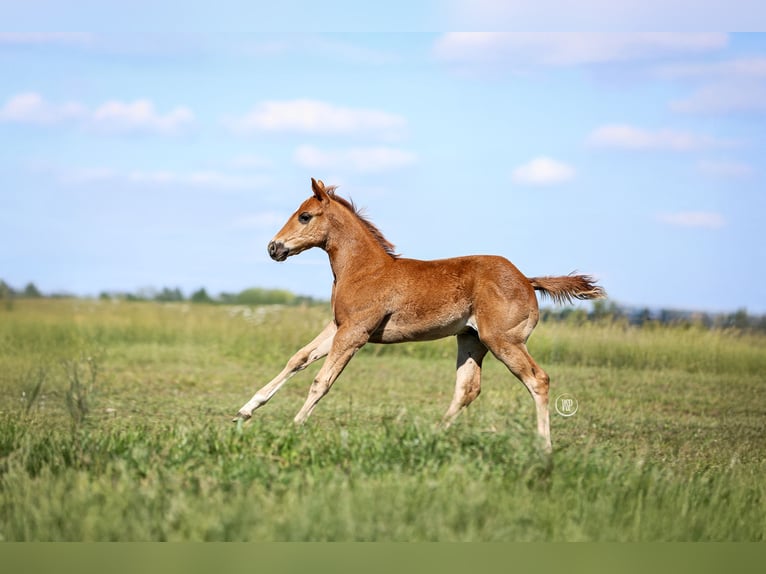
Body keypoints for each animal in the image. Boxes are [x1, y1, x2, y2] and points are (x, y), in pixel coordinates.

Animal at [235, 178, 605, 451]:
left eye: (305, 216)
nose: (273, 248)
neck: (363, 269)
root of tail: (527, 279)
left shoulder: (354, 332)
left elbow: (321, 381)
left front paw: (293, 427)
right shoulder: (339, 326)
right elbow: (297, 359)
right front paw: (244, 411)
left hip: (503, 340)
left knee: (537, 379)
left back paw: (544, 448)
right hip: (471, 340)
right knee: (467, 389)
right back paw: (432, 436)